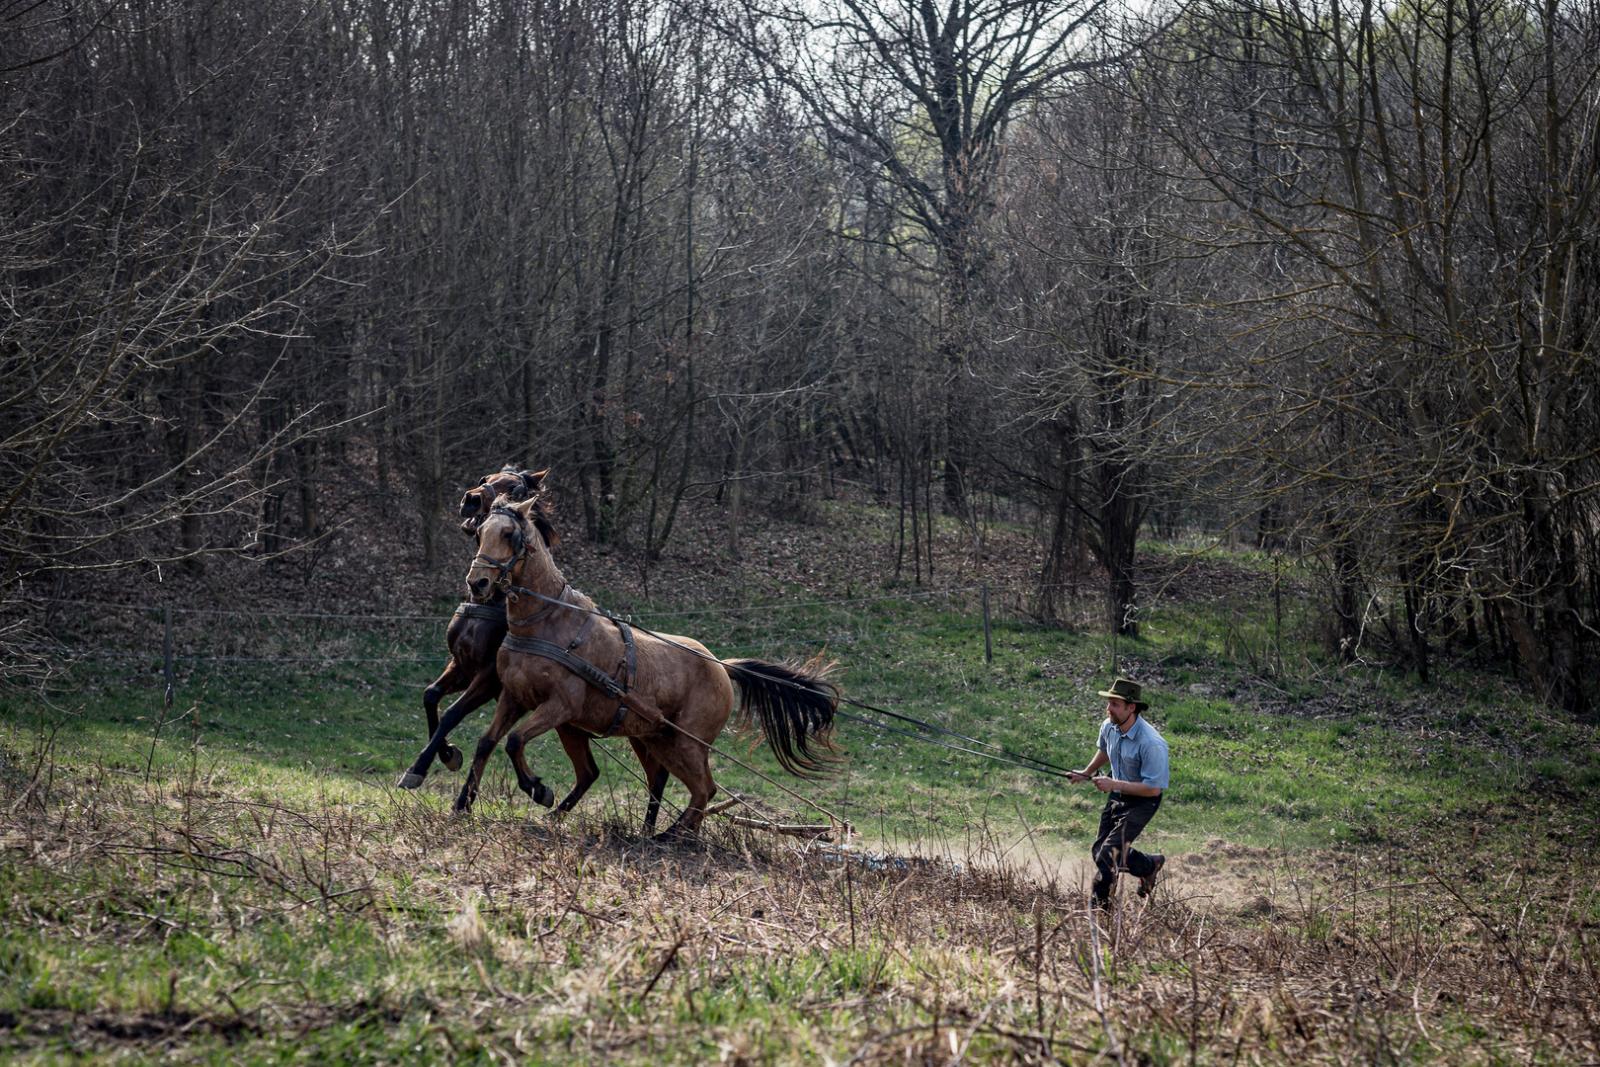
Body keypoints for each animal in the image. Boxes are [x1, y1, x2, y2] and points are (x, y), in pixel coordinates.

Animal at [457, 495, 844, 838]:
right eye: (481, 532)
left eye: (509, 533)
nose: (477, 583)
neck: (548, 620)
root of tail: (721, 665)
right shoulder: (515, 698)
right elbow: (488, 742)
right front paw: (463, 805)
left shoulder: (559, 706)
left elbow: (514, 740)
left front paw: (538, 789)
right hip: (646, 737)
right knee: (626, 776)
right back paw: (644, 830)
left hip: (684, 743)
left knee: (704, 788)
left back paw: (672, 836)